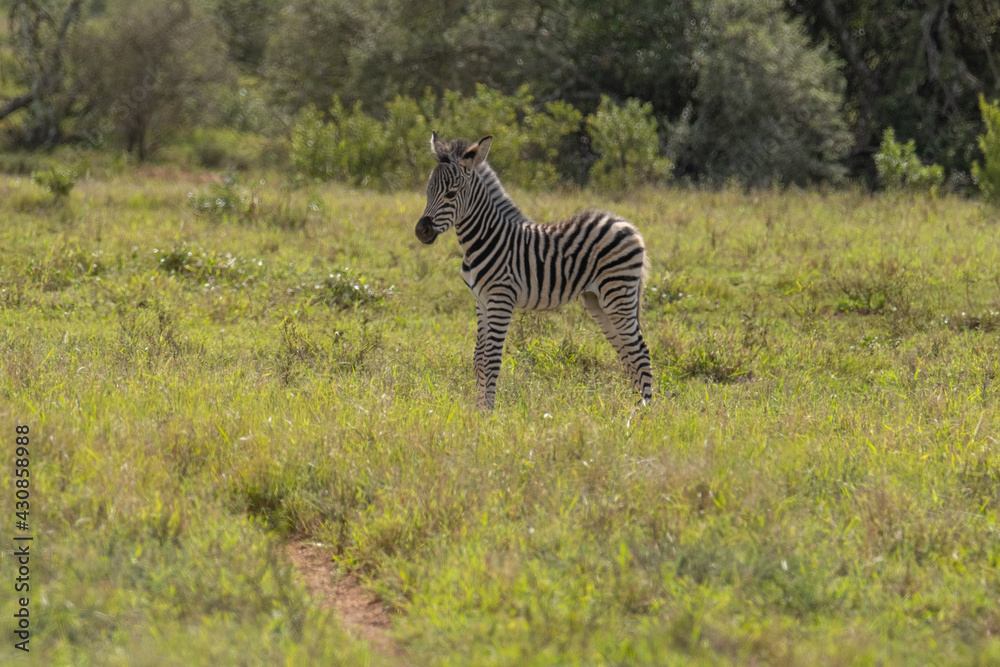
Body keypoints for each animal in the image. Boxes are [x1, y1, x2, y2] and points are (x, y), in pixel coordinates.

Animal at [415, 132, 653, 410]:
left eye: (452, 194)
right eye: (428, 191)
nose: (421, 231)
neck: (485, 237)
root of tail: (628, 225)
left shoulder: (501, 300)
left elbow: (491, 359)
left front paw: (488, 412)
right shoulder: (481, 301)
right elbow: (478, 359)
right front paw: (478, 408)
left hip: (618, 294)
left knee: (640, 351)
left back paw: (646, 411)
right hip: (597, 301)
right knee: (626, 351)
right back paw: (632, 406)